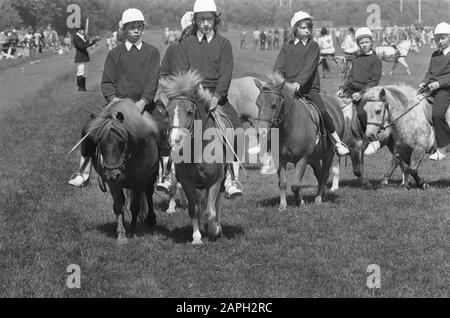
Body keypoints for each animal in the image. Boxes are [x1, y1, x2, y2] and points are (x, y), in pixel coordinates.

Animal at [86, 99, 160, 243]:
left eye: (121, 141)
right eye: (99, 141)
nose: (113, 174)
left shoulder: (140, 182)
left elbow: (135, 206)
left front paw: (133, 230)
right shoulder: (113, 184)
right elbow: (118, 206)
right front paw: (121, 234)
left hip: (151, 176)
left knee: (149, 193)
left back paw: (150, 219)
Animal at [255, 72, 346, 211]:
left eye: (274, 105)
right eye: (257, 104)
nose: (261, 132)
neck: (289, 127)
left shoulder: (302, 159)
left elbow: (295, 185)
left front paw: (300, 202)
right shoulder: (280, 159)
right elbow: (283, 183)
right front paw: (283, 205)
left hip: (329, 154)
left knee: (324, 174)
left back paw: (318, 198)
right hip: (314, 158)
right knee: (319, 173)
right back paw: (321, 193)